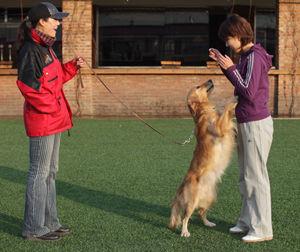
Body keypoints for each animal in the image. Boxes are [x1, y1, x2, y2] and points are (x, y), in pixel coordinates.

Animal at [169, 79, 237, 237]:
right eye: (198, 86)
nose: (210, 80)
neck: (204, 111)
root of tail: (180, 188)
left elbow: (226, 115)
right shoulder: (218, 128)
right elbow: (226, 111)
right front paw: (233, 99)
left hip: (211, 197)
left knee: (201, 213)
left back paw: (208, 223)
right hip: (192, 201)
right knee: (186, 216)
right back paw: (185, 231)